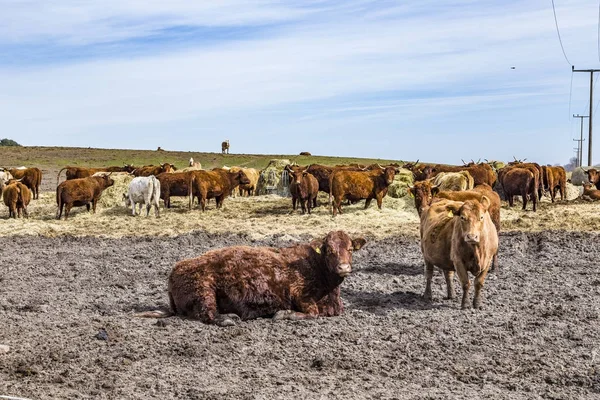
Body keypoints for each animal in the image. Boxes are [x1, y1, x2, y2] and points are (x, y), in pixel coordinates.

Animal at [137, 231, 366, 324]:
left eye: (350, 249)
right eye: (329, 250)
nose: (344, 267)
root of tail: (176, 270)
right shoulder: (301, 295)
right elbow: (313, 313)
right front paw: (283, 314)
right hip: (204, 289)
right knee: (207, 314)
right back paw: (229, 318)